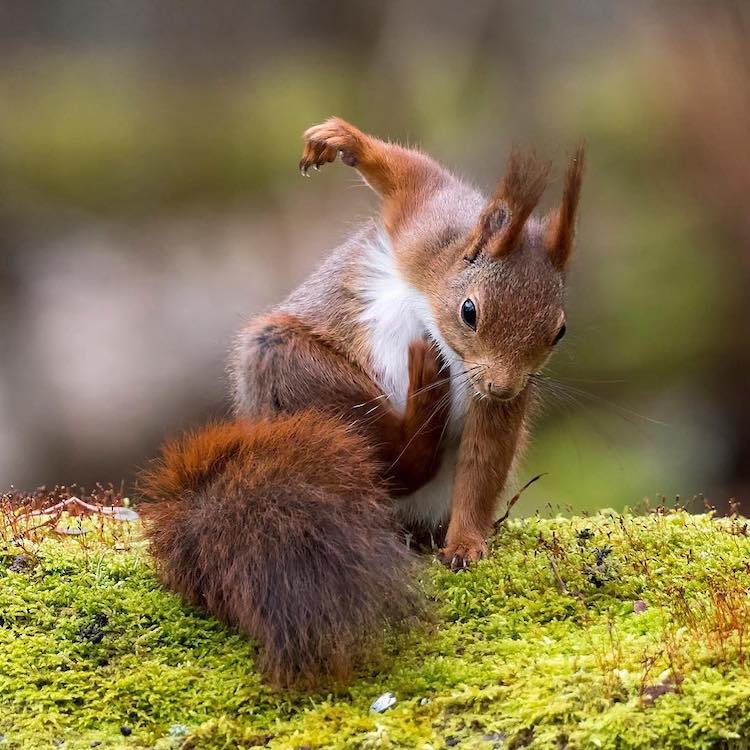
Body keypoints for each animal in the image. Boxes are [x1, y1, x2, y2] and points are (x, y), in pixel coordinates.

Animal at [140, 117, 584, 688]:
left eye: (559, 331)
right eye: (470, 311)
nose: (504, 387)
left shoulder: (496, 401)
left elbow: (484, 462)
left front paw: (466, 543)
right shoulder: (425, 222)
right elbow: (409, 173)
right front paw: (341, 141)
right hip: (285, 362)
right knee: (391, 457)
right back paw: (421, 405)